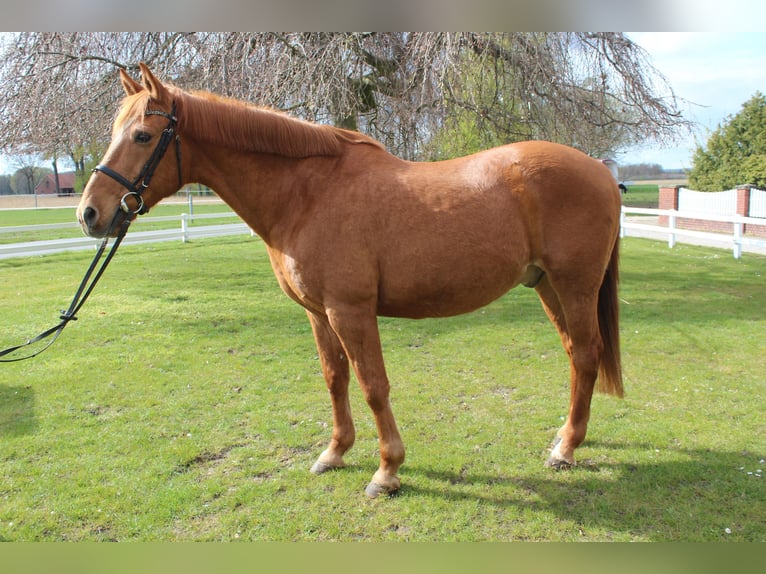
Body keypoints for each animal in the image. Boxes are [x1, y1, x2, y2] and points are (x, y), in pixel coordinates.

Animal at [77, 63, 623, 498]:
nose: (90, 214)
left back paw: (566, 450)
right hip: (546, 285)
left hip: (574, 285)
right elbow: (334, 378)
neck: (307, 194)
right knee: (574, 354)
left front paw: (387, 472)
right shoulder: (319, 313)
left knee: (586, 354)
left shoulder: (351, 310)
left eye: (143, 136)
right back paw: (565, 436)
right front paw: (335, 452)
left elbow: (372, 385)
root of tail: (599, 170)